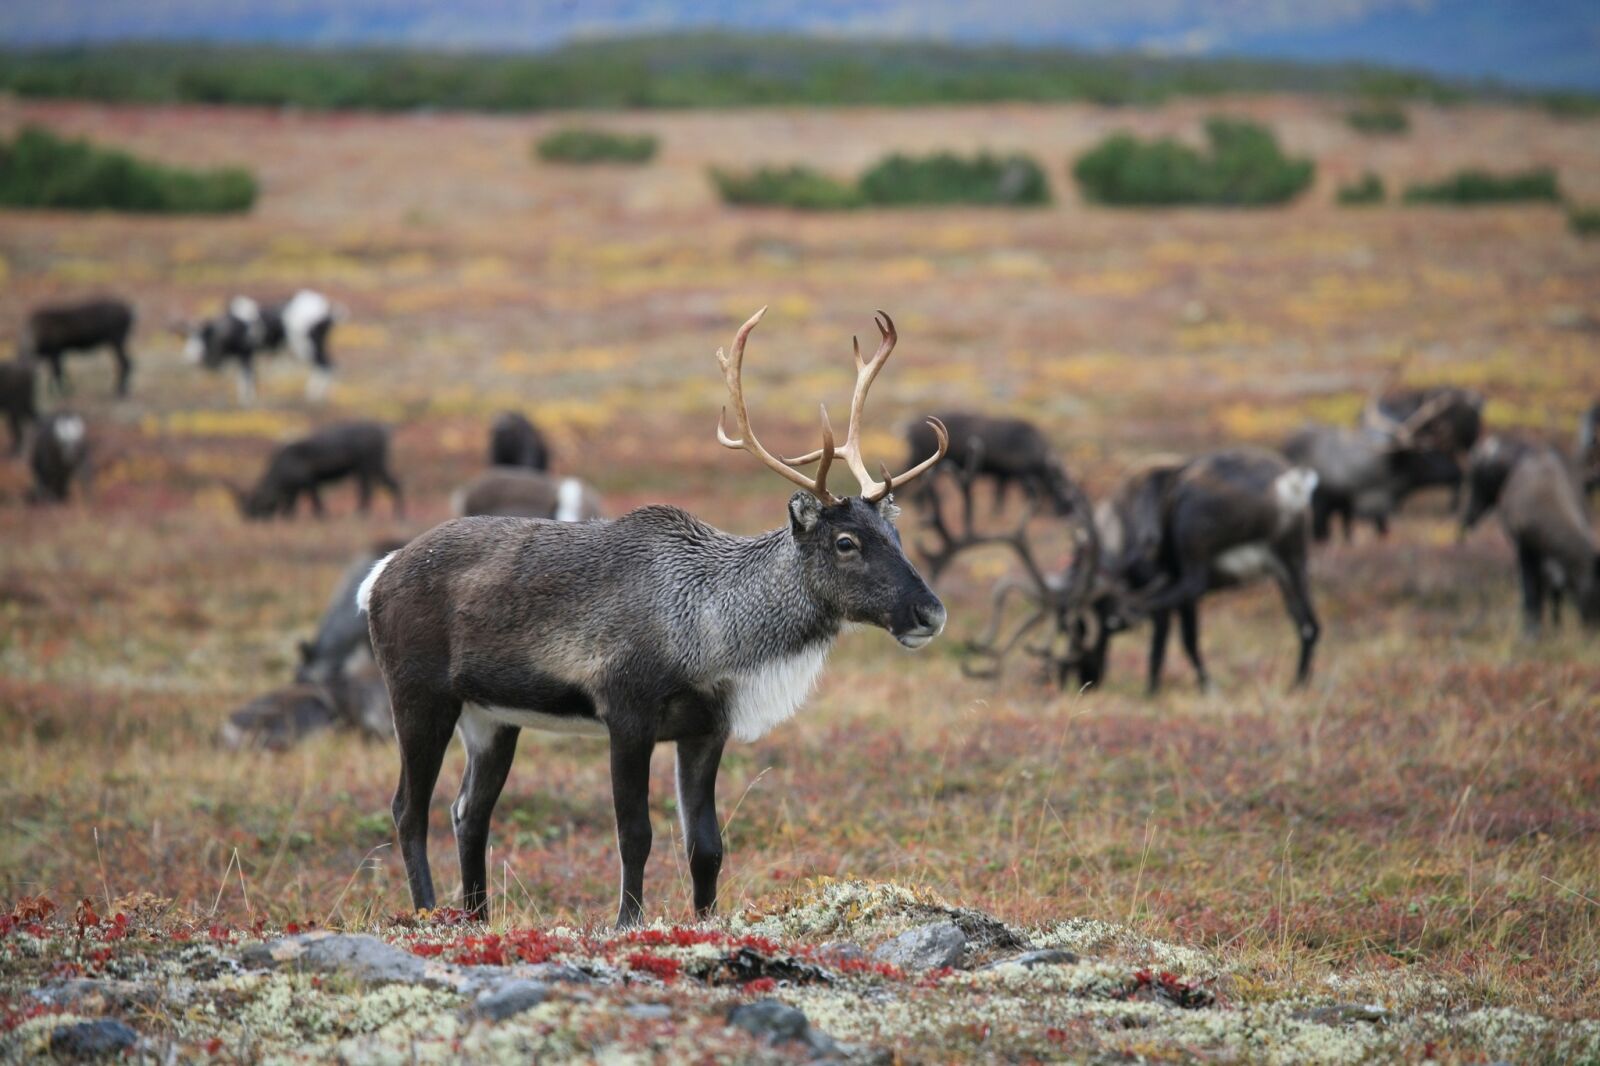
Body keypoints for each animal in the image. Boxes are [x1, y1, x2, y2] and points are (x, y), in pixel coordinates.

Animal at [359, 308, 948, 926]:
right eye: (845, 542)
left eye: (896, 535)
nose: (930, 612)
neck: (709, 626)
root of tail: (378, 575)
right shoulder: (627, 714)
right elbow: (634, 834)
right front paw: (628, 922)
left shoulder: (705, 730)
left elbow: (706, 846)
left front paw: (705, 920)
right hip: (420, 696)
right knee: (408, 809)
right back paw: (428, 912)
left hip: (492, 718)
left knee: (468, 812)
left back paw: (477, 919)